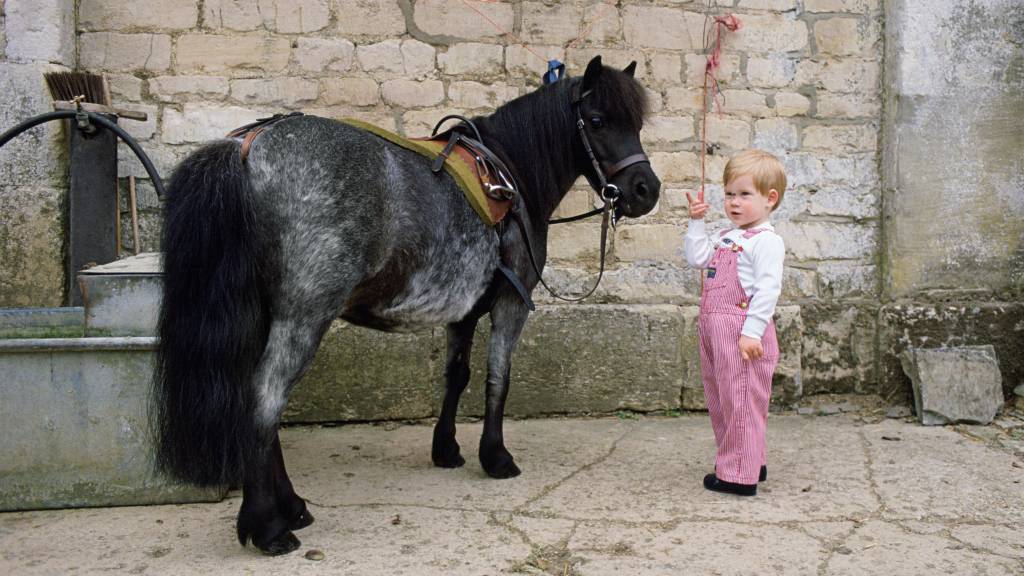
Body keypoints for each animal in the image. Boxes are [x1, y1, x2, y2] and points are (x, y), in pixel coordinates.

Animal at [153, 55, 661, 555]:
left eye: (637, 122)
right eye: (596, 120)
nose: (646, 190)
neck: (510, 174)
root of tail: (248, 148)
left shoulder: (463, 312)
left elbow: (457, 376)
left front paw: (447, 450)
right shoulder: (511, 302)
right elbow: (499, 377)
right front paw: (495, 456)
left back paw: (292, 507)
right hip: (302, 317)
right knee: (264, 402)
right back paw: (269, 527)